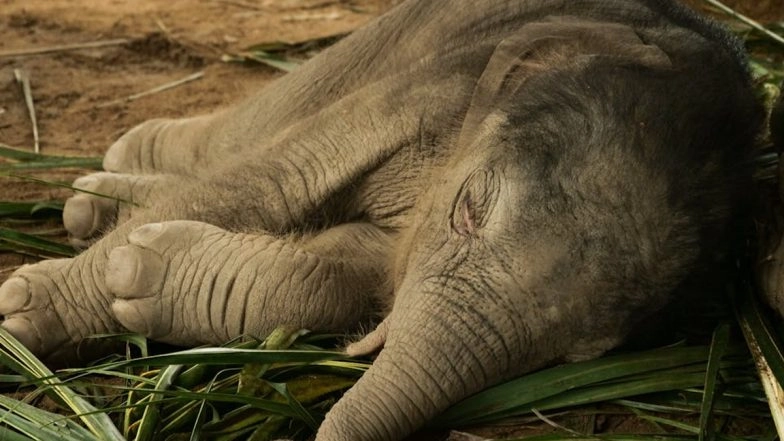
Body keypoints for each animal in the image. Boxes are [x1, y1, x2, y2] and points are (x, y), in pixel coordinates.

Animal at [0, 0, 763, 440]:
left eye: (584, 354)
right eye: (468, 211)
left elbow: (353, 275)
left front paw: (140, 271)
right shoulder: (437, 83)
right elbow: (274, 183)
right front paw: (21, 316)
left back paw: (92, 201)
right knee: (249, 128)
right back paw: (111, 176)